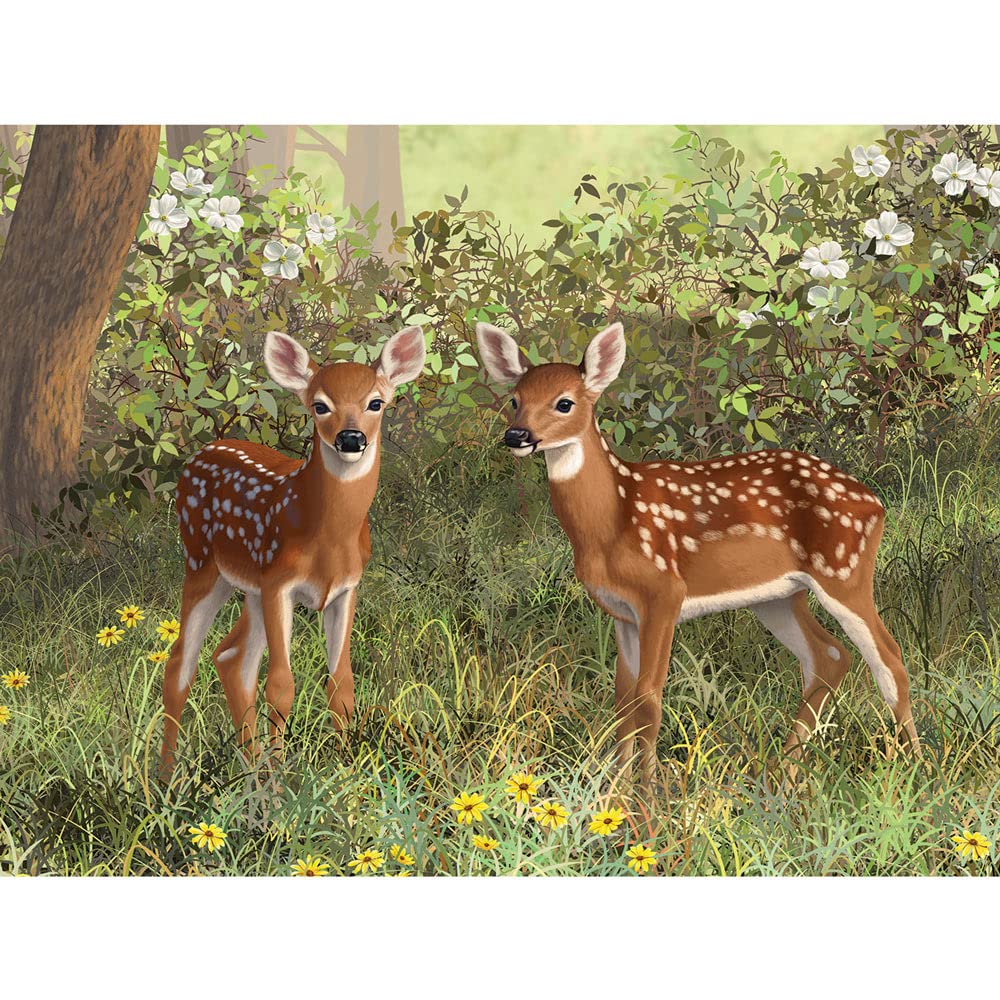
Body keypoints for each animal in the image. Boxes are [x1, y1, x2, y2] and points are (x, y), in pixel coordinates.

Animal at [159, 325, 426, 780]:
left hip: (248, 588)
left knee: (231, 658)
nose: (351, 438)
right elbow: (281, 683)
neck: (328, 539)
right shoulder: (279, 584)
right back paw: (164, 778)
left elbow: (341, 681)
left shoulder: (345, 589)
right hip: (201, 563)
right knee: (181, 662)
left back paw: (250, 769)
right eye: (320, 405)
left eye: (376, 402)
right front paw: (284, 777)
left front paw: (344, 768)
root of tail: (199, 454)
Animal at [477, 320, 920, 786]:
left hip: (844, 571)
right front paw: (614, 791)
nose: (517, 435)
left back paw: (915, 768)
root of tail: (876, 503)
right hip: (778, 596)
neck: (612, 521)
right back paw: (781, 774)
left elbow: (649, 699)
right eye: (515, 400)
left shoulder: (663, 593)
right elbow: (623, 701)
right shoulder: (621, 612)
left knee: (891, 661)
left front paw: (650, 796)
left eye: (565, 402)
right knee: (829, 657)